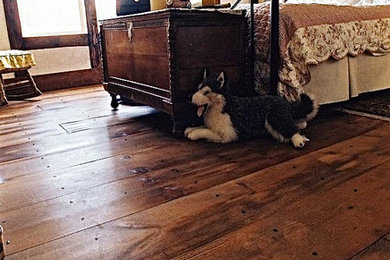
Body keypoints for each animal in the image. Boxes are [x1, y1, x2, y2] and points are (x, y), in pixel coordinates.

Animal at [184, 69, 318, 148]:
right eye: (198, 88)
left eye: (206, 92)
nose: (189, 98)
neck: (222, 106)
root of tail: (285, 102)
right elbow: (203, 126)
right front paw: (190, 129)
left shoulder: (228, 134)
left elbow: (206, 131)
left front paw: (193, 134)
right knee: (299, 124)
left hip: (274, 117)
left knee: (291, 128)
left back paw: (298, 140)